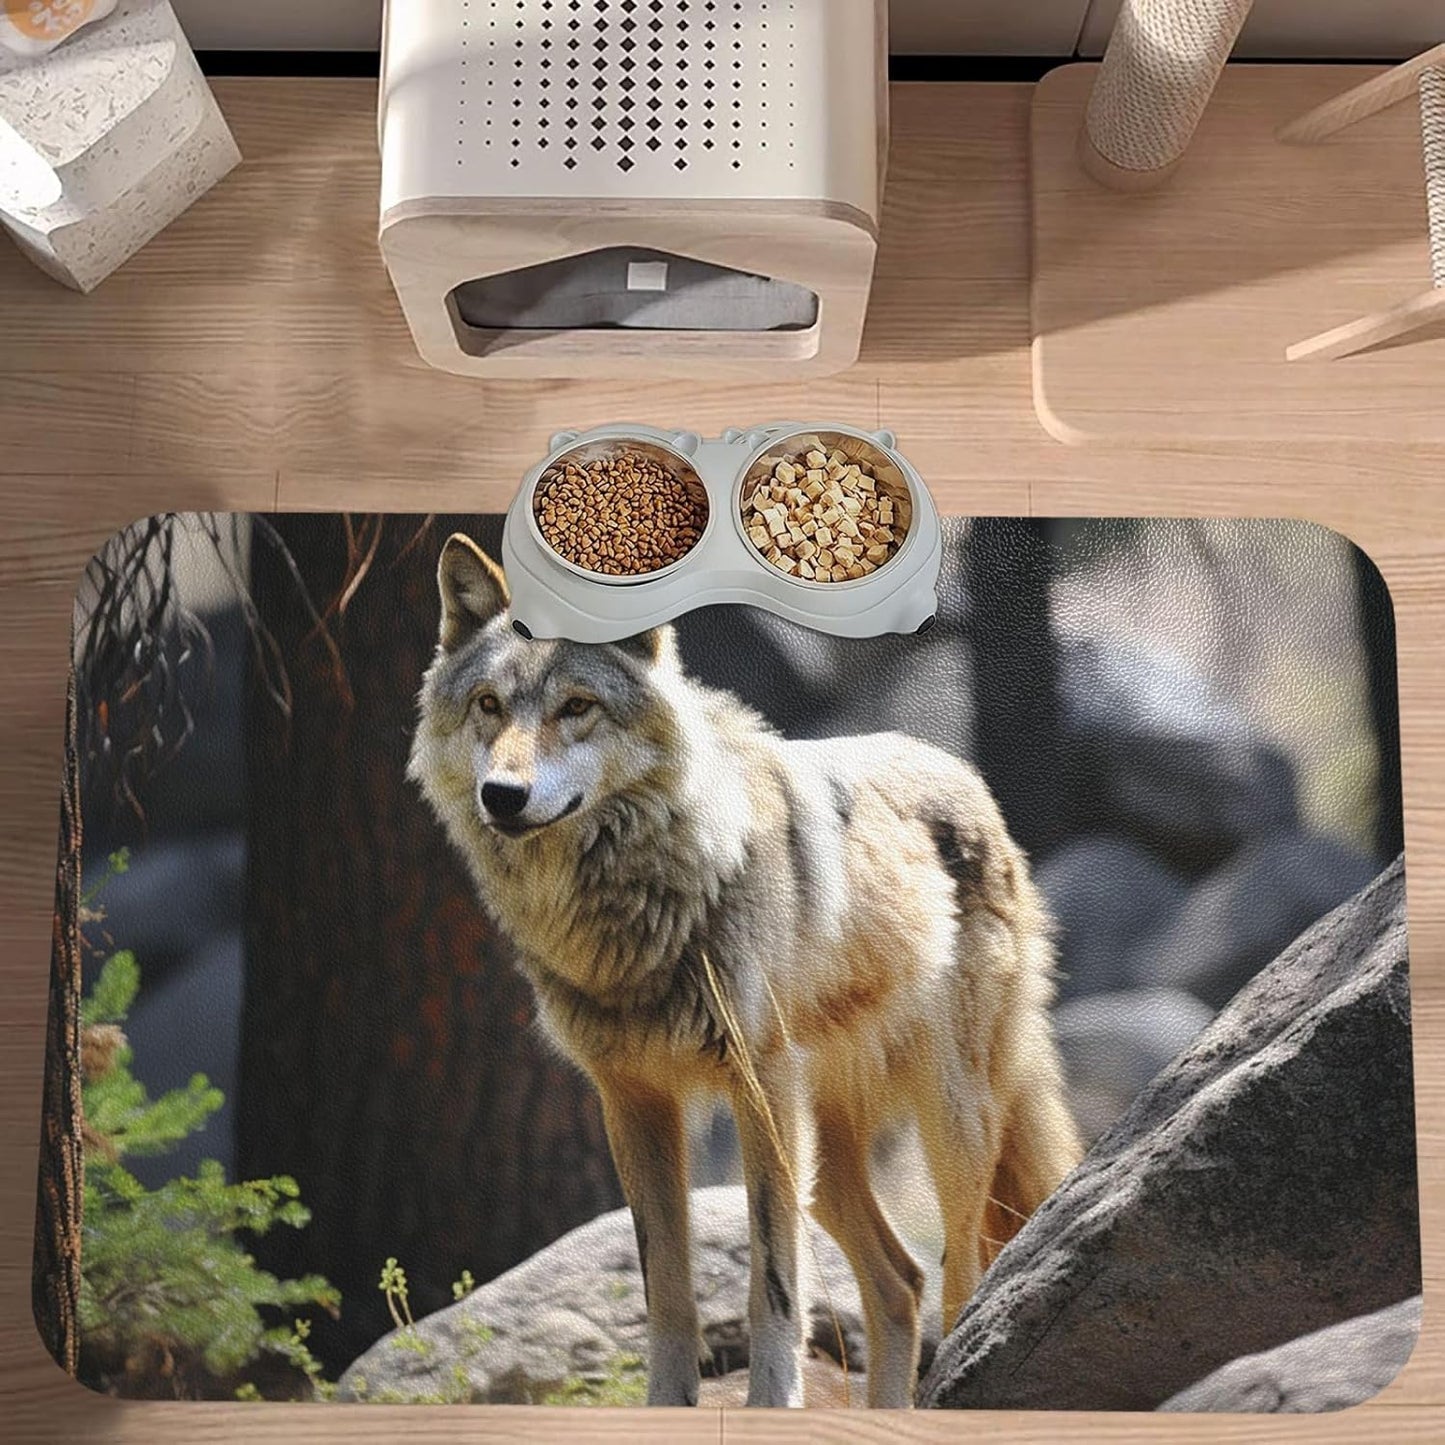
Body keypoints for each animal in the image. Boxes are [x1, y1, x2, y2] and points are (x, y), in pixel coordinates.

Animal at [408, 534, 1082, 1409]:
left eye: (576, 707)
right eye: (488, 704)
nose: (502, 794)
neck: (640, 905)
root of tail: (967, 777)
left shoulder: (757, 1089)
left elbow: (773, 1284)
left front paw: (771, 1404)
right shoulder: (632, 1102)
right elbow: (666, 1290)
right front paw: (668, 1408)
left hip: (944, 1123)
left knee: (964, 1269)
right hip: (825, 1159)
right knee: (899, 1281)